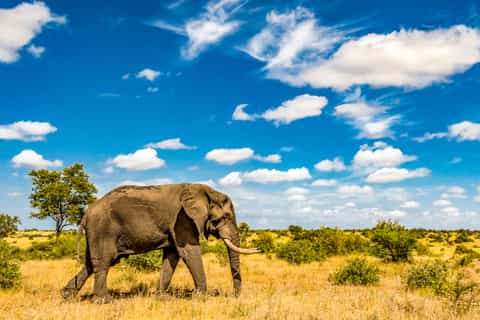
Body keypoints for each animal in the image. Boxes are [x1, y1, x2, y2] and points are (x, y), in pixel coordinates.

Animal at [62, 182, 262, 302]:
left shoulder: (179, 224)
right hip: (103, 229)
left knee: (91, 263)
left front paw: (161, 297)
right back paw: (105, 301)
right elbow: (189, 252)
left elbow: (172, 256)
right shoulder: (183, 219)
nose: (234, 296)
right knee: (104, 262)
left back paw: (67, 296)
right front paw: (200, 298)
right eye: (226, 217)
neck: (205, 191)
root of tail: (87, 212)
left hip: (97, 232)